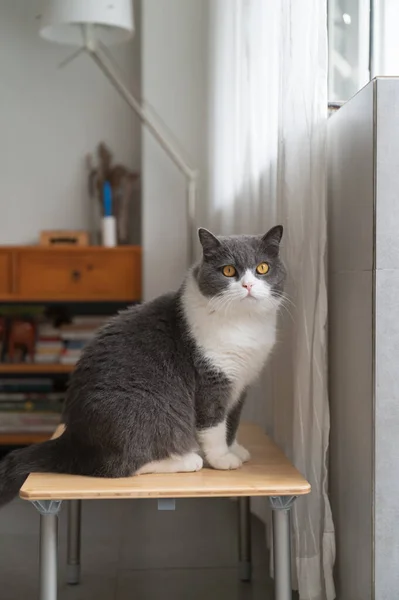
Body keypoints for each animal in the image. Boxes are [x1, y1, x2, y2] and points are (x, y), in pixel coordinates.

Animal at [0, 227, 286, 504]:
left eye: (262, 268)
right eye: (228, 271)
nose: (248, 284)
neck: (244, 323)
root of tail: (72, 439)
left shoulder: (242, 383)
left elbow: (232, 421)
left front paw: (234, 448)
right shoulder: (211, 379)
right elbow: (213, 424)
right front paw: (222, 459)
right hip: (144, 410)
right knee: (117, 467)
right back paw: (186, 460)